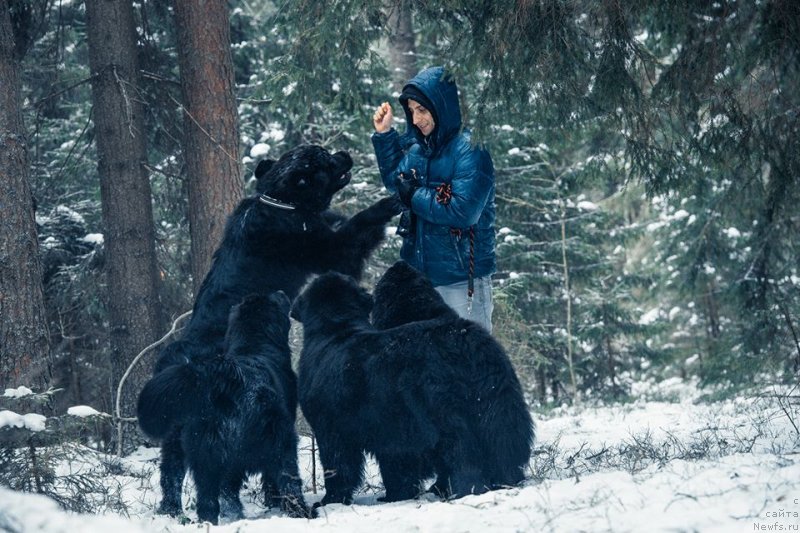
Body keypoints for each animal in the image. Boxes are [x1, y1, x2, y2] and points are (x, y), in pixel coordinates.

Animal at [136, 144, 406, 520]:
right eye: (324, 159)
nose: (344, 152)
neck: (283, 204)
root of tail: (179, 360)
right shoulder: (330, 251)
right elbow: (356, 228)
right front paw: (387, 202)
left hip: (177, 433)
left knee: (172, 472)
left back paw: (174, 511)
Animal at [290, 262, 536, 508]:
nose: (400, 263)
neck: (338, 328)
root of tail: (465, 340)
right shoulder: (392, 433)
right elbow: (398, 469)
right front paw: (396, 495)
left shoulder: (332, 428)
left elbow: (338, 467)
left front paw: (329, 501)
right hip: (498, 405)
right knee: (502, 444)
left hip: (444, 414)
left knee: (461, 454)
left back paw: (464, 490)